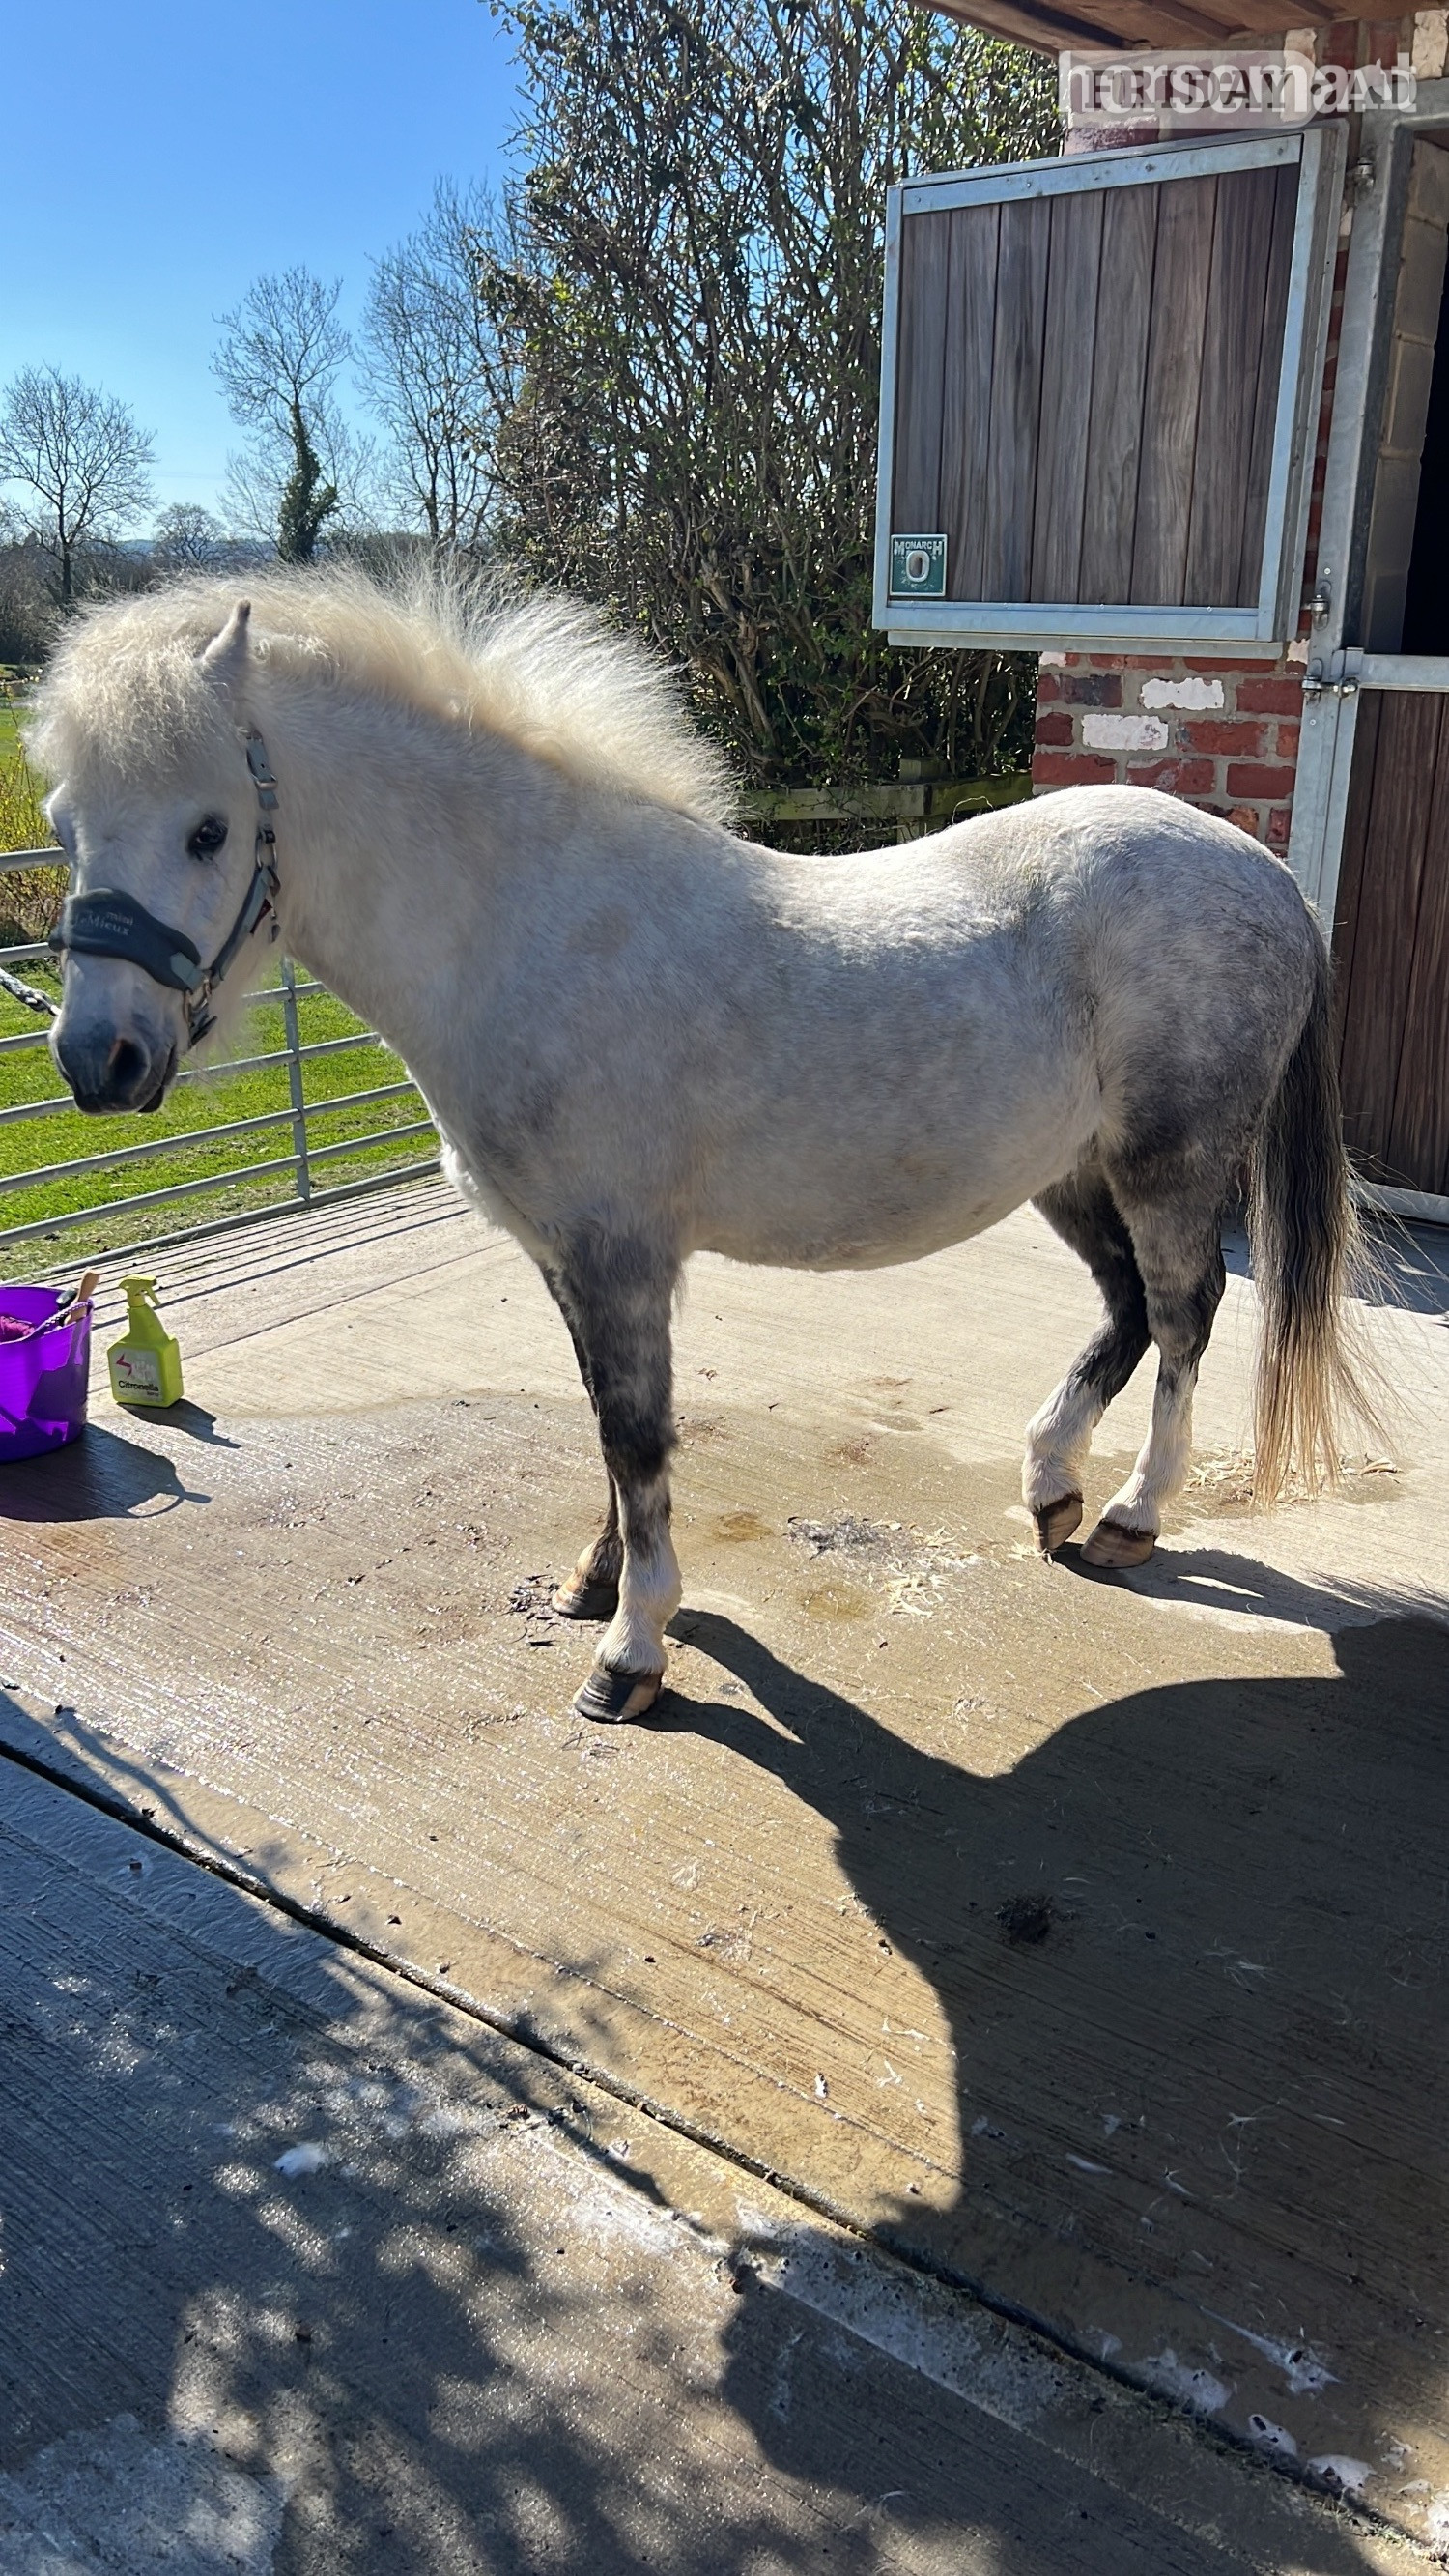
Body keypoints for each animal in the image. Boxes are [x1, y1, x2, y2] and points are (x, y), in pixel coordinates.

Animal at [31, 570, 1378, 1723]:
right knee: (1127, 1307)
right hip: (1069, 1170)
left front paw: (631, 1650)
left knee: (1185, 1312)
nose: (98, 1059)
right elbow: (603, 1424)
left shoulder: (620, 1258)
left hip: (1168, 1161)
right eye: (64, 822)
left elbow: (637, 1438)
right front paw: (595, 1582)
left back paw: (1133, 1518)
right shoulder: (569, 1261)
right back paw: (1051, 1486)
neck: (530, 929)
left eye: (210, 830)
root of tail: (1267, 876)